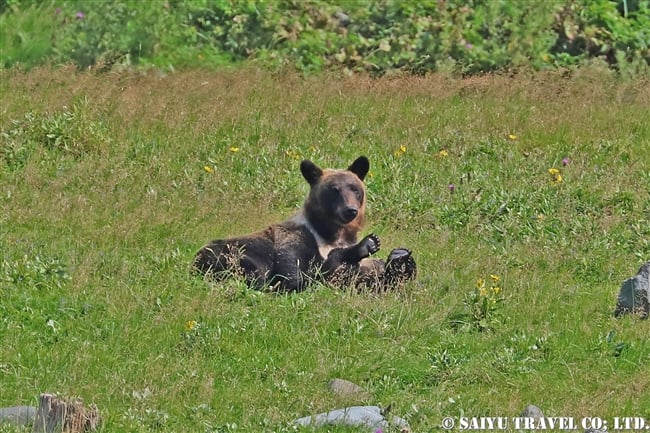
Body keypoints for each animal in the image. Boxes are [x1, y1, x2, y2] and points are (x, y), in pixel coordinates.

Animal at [192, 154, 416, 292]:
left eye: (354, 188)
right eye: (334, 190)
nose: (350, 210)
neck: (329, 234)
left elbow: (371, 276)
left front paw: (399, 258)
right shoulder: (293, 241)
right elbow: (296, 275)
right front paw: (365, 245)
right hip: (231, 253)